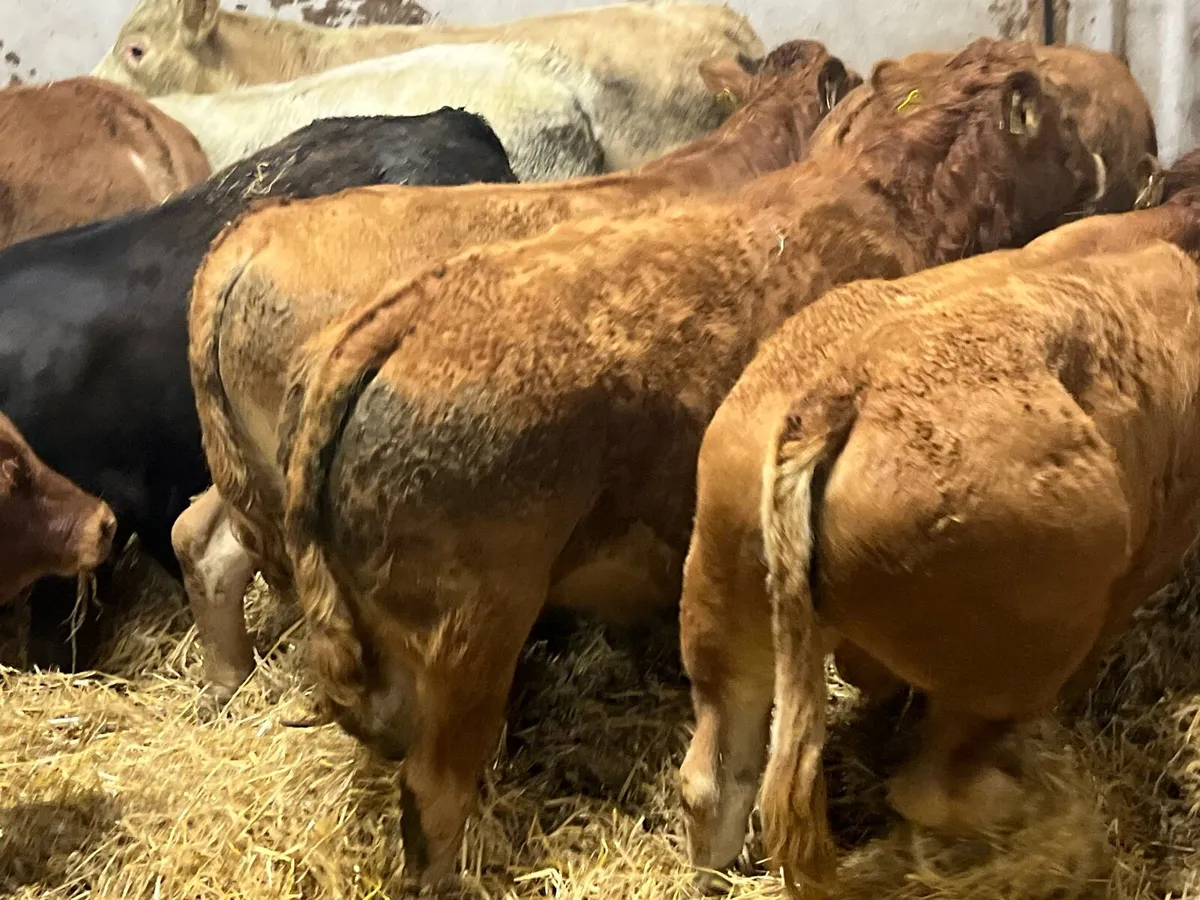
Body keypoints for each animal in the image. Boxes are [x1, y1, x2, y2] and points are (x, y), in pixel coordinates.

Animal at [269, 40, 1106, 886]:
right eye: (1054, 120)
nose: (1099, 164)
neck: (892, 200)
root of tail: (405, 315)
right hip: (470, 635)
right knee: (436, 795)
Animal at [676, 149, 1200, 895]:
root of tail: (841, 388)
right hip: (1013, 664)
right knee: (928, 788)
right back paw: (1024, 802)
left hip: (724, 597)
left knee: (713, 777)